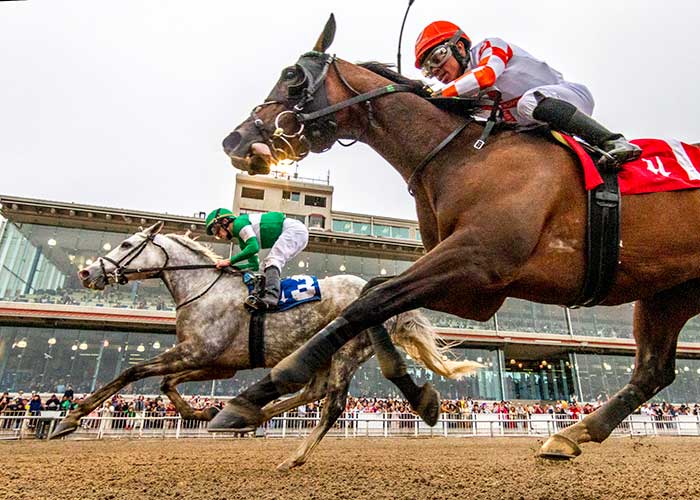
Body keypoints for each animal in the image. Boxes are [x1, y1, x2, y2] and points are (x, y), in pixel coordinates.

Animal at [47, 223, 476, 468]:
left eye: (124, 244)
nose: (86, 272)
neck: (203, 289)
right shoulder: (219, 364)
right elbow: (167, 384)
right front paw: (202, 412)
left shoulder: (196, 353)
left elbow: (131, 371)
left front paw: (70, 419)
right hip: (326, 353)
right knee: (312, 390)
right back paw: (246, 415)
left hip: (345, 351)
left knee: (332, 403)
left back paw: (293, 454)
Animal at [215, 15, 700, 460]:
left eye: (292, 76)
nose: (234, 140)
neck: (462, 154)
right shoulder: (477, 291)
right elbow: (374, 295)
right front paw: (419, 394)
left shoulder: (478, 257)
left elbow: (371, 301)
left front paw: (259, 391)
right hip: (667, 292)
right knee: (653, 371)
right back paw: (570, 434)